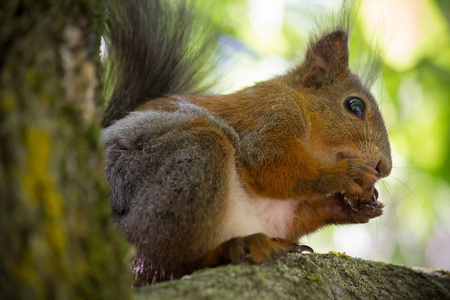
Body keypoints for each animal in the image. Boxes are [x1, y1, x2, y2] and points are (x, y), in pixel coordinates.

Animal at [101, 0, 390, 286]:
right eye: (354, 105)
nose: (383, 168)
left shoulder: (279, 213)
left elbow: (299, 216)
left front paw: (353, 207)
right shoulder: (268, 117)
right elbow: (271, 166)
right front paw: (345, 174)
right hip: (183, 161)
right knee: (154, 263)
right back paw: (228, 250)